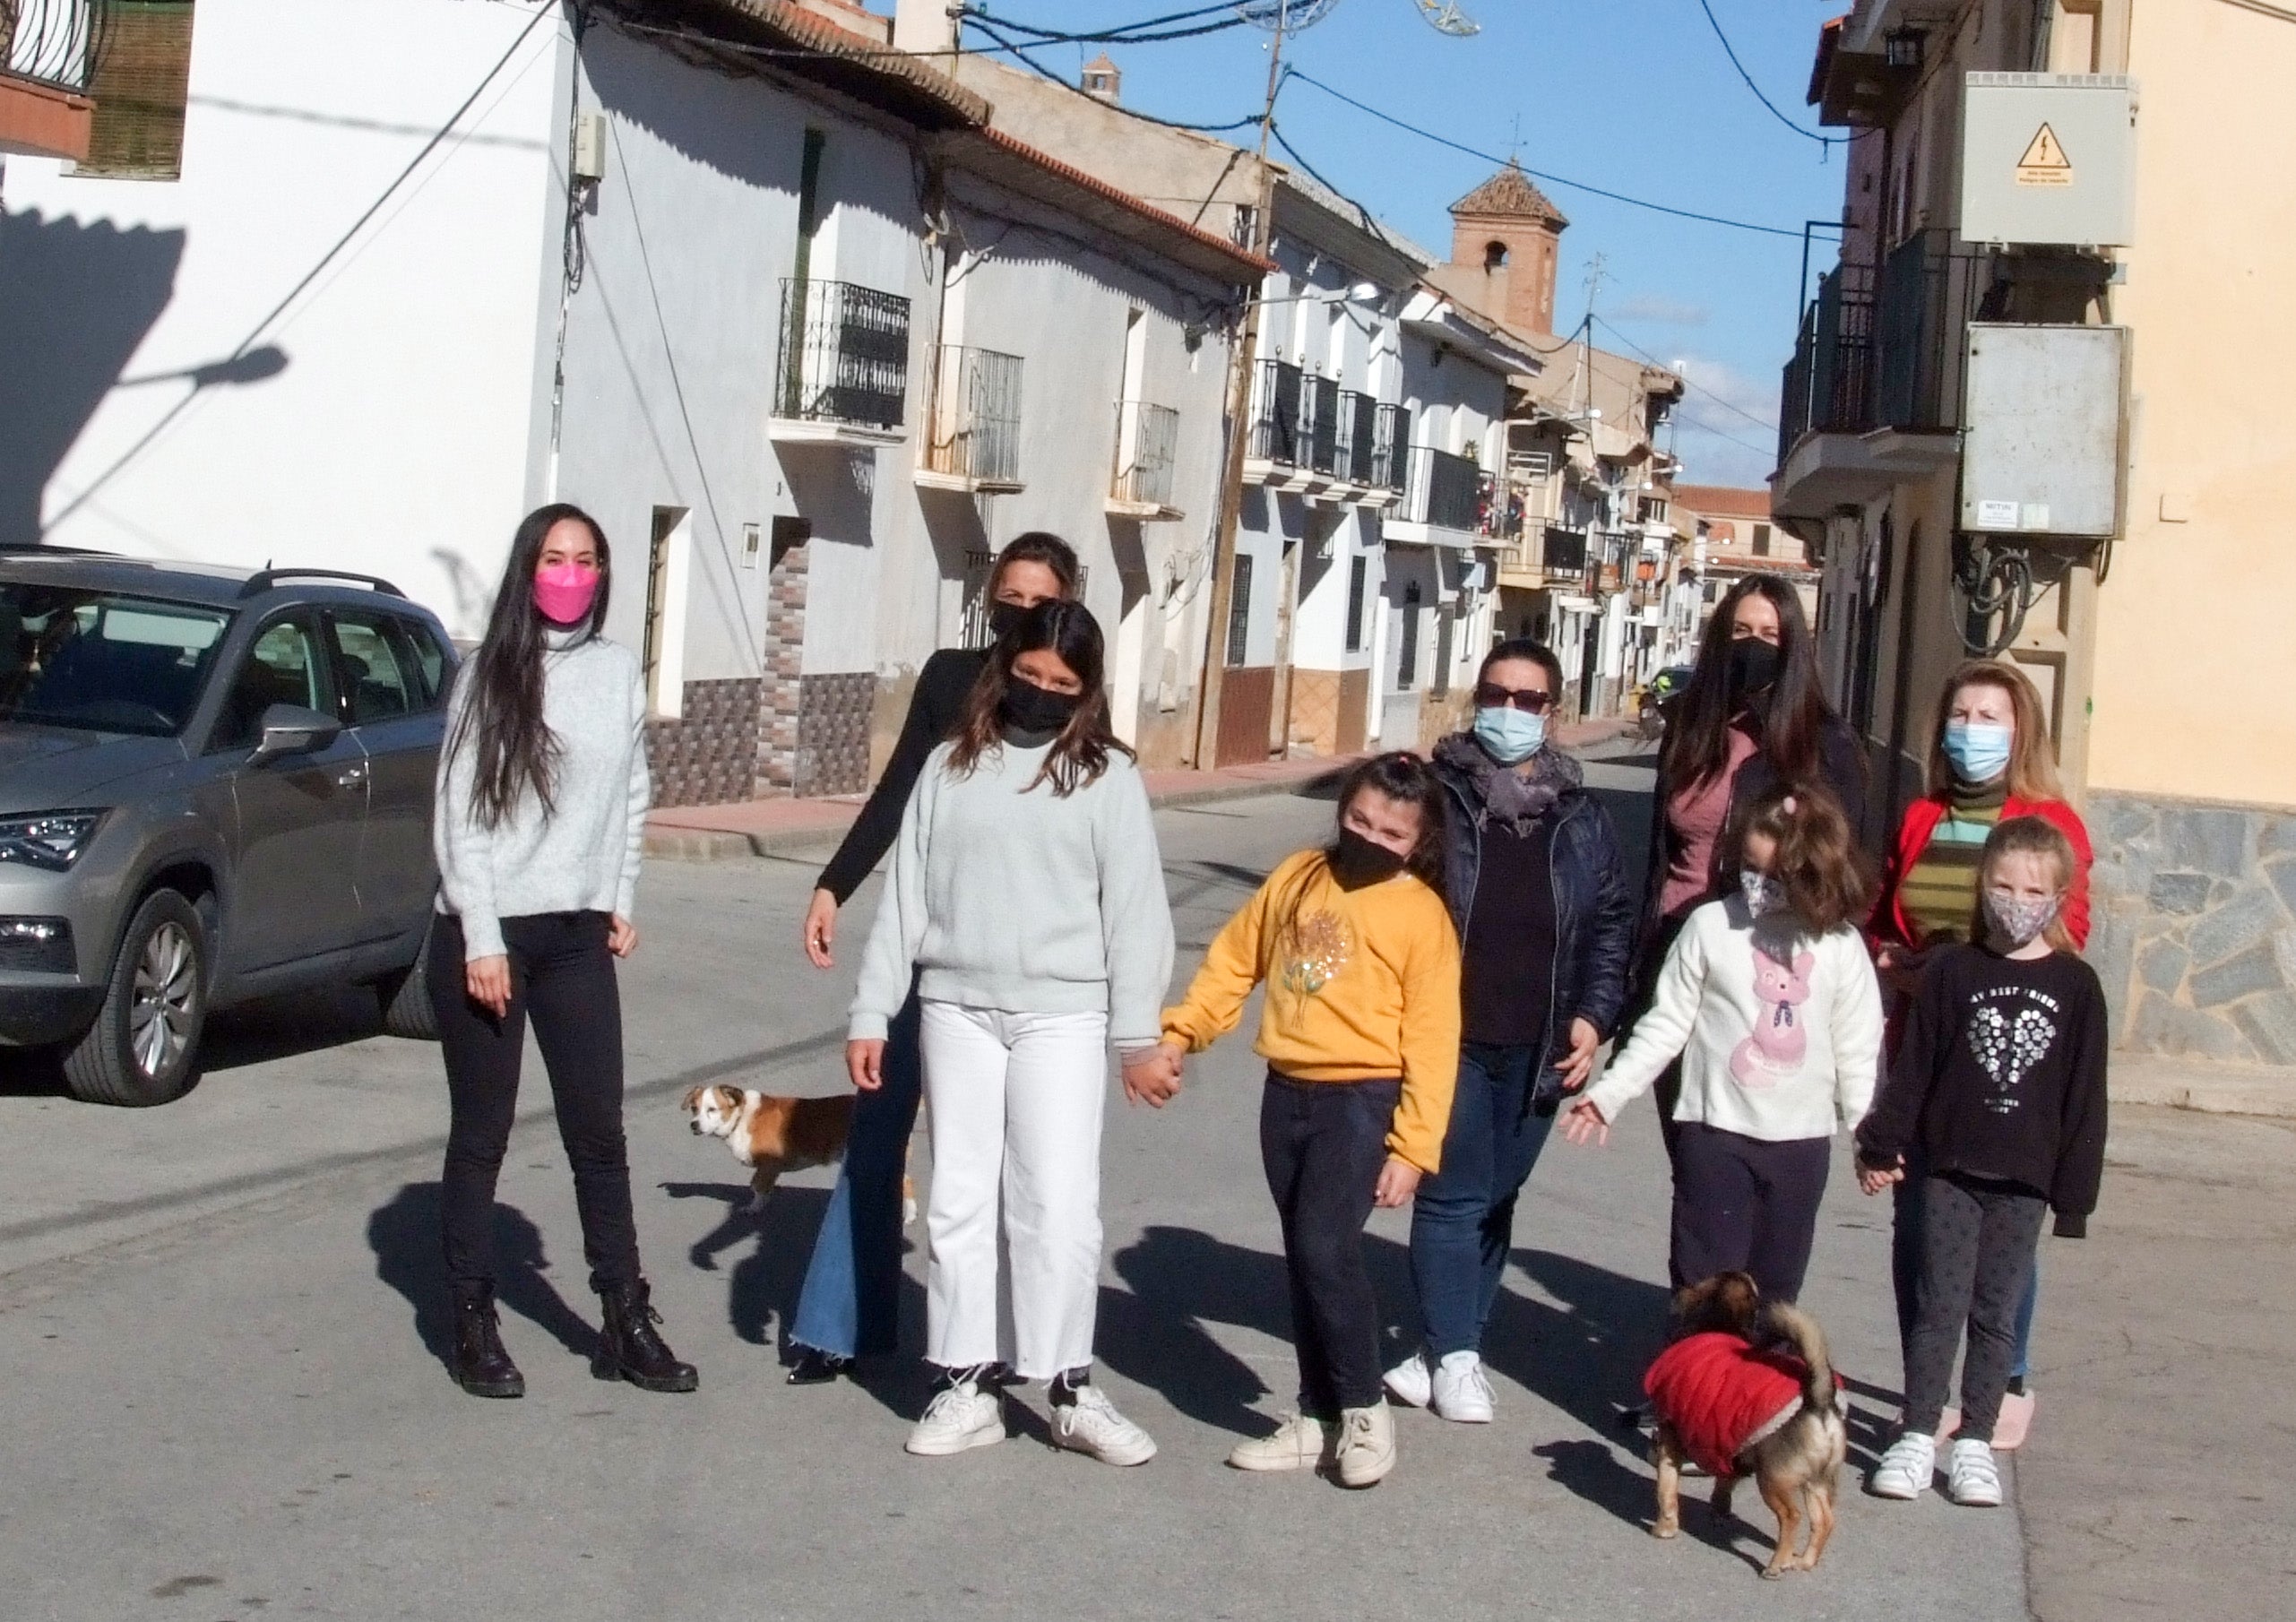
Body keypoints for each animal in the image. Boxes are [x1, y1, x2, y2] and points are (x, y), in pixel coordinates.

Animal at [670, 1079, 913, 1221]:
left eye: (712, 1109)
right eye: (694, 1108)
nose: (694, 1125)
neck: (741, 1117)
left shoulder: (769, 1165)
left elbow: (756, 1186)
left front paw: (756, 1207)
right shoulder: (768, 1169)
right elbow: (759, 1186)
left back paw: (909, 1214)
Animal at [1644, 1268, 1855, 1571]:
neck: (1721, 1324)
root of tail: (1818, 1400)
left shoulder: (1670, 1441)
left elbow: (1666, 1489)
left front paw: (1664, 1528)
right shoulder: (1727, 1446)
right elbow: (1723, 1484)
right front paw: (1719, 1511)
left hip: (1773, 1480)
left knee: (1791, 1517)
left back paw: (1776, 1565)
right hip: (1816, 1480)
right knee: (1824, 1520)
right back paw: (1804, 1561)